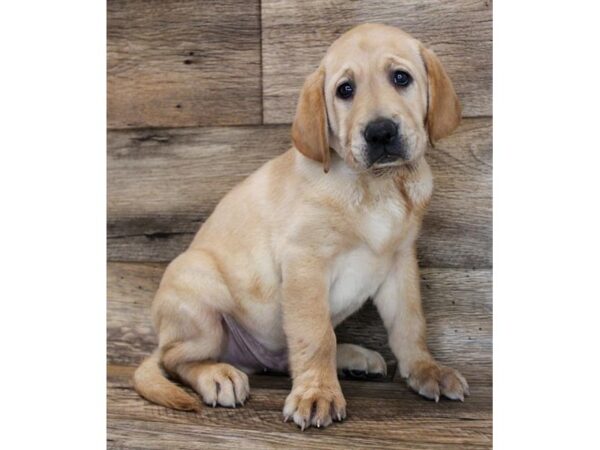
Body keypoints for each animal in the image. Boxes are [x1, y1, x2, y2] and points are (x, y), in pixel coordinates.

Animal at [135, 23, 468, 428]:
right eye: (345, 90)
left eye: (401, 78)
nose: (380, 133)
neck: (377, 186)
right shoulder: (305, 262)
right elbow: (316, 334)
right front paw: (317, 394)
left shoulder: (400, 262)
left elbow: (409, 324)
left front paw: (426, 370)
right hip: (196, 288)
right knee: (175, 359)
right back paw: (217, 374)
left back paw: (352, 357)